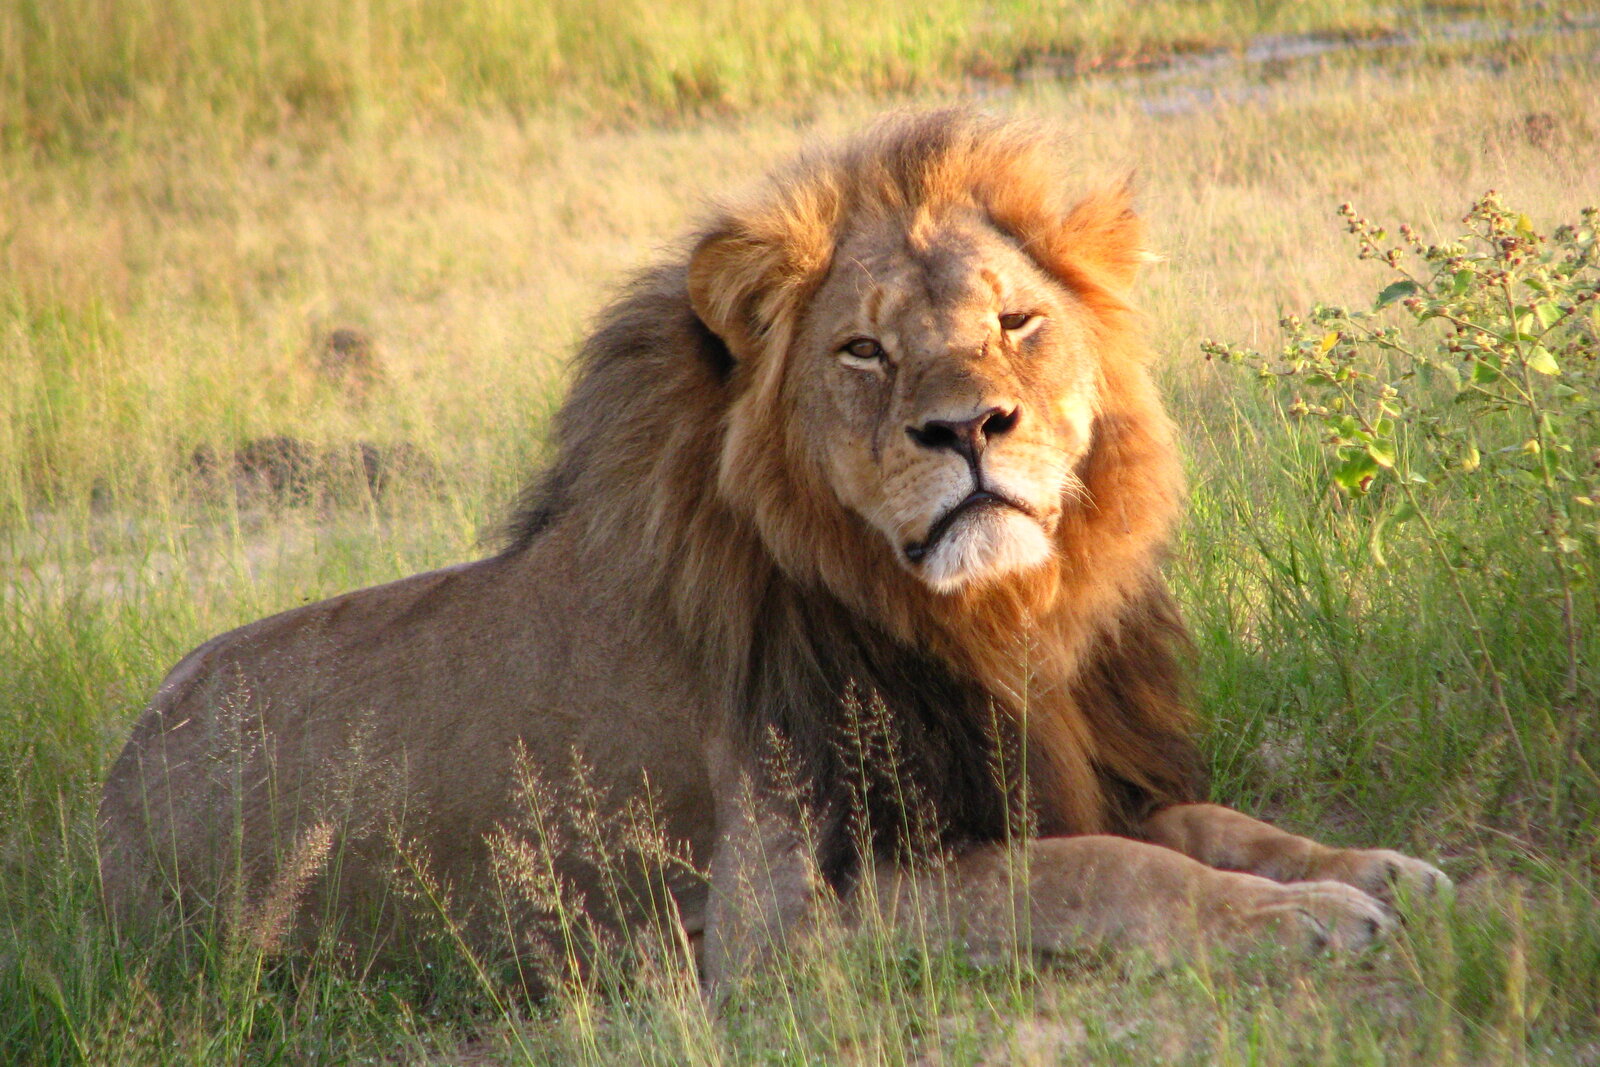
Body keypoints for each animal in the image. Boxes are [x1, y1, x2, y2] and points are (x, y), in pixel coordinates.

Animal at [98, 109, 1446, 986]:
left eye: (1017, 320)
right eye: (863, 349)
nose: (968, 427)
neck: (989, 620)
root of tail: (107, 788)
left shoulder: (1051, 762)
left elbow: (1211, 822)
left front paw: (1371, 866)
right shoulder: (775, 914)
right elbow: (1100, 868)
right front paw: (1301, 917)